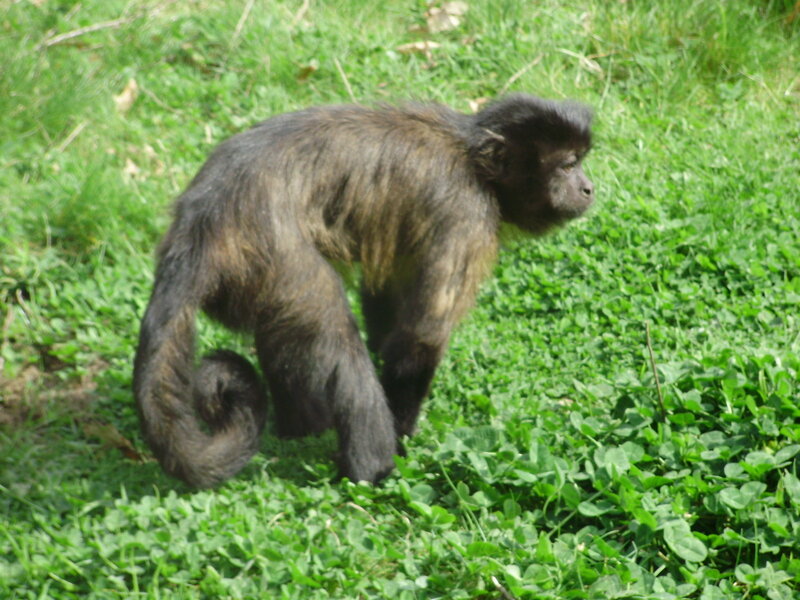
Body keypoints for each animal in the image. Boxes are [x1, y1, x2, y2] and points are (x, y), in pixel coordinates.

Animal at [133, 93, 595, 488]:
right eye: (568, 165)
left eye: (580, 163)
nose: (588, 186)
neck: (472, 157)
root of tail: (200, 225)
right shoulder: (467, 212)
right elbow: (420, 338)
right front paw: (402, 439)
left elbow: (386, 294)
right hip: (274, 258)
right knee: (334, 333)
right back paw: (372, 468)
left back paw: (300, 431)